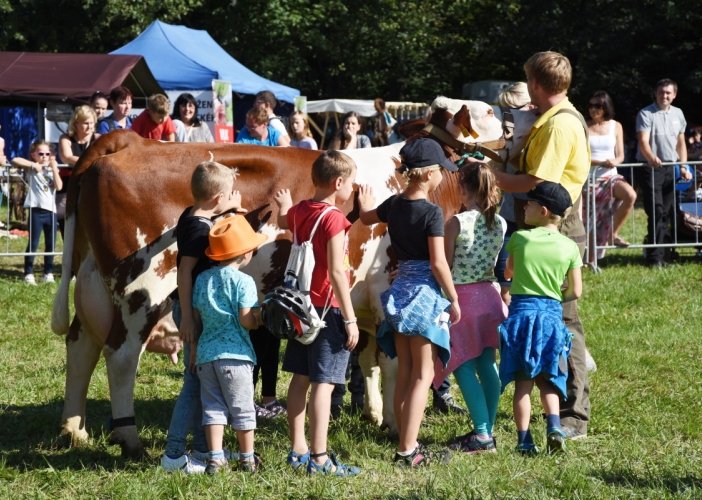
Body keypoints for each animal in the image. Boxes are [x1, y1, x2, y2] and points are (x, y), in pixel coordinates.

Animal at [52, 96, 536, 458]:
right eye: (491, 112)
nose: (517, 128)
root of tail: (128, 141)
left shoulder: (360, 296)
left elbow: (367, 359)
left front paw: (374, 414)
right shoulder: (388, 286)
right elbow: (393, 362)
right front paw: (396, 423)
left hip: (95, 281)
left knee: (80, 345)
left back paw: (74, 429)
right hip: (142, 288)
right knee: (119, 356)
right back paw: (127, 438)